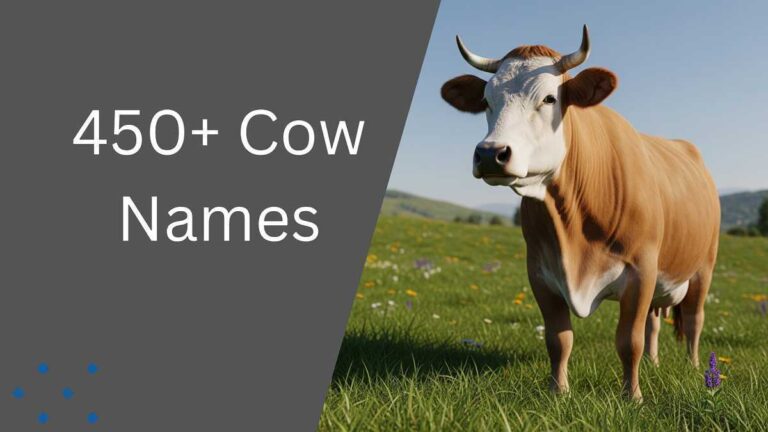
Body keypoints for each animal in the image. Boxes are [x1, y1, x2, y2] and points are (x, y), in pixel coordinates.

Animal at [440, 26, 720, 401]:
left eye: (549, 99)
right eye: (486, 101)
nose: (490, 153)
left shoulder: (642, 270)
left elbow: (628, 341)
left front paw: (632, 397)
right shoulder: (540, 272)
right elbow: (559, 339)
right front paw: (558, 391)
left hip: (703, 267)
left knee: (693, 319)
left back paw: (694, 367)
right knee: (655, 322)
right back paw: (654, 363)